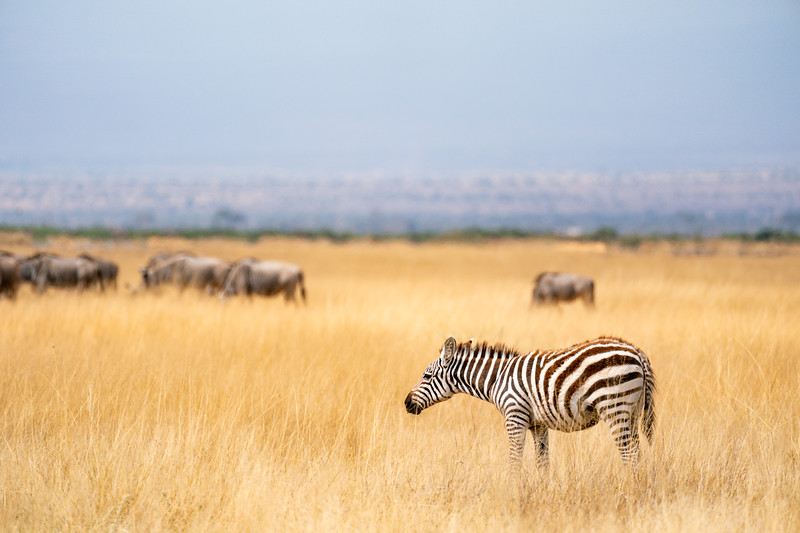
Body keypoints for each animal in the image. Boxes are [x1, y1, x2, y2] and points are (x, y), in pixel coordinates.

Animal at [404, 336, 656, 467]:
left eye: (427, 376)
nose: (406, 403)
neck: (497, 379)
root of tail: (637, 351)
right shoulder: (538, 424)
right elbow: (542, 462)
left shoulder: (514, 417)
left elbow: (514, 459)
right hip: (632, 412)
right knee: (637, 452)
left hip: (615, 408)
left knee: (629, 455)